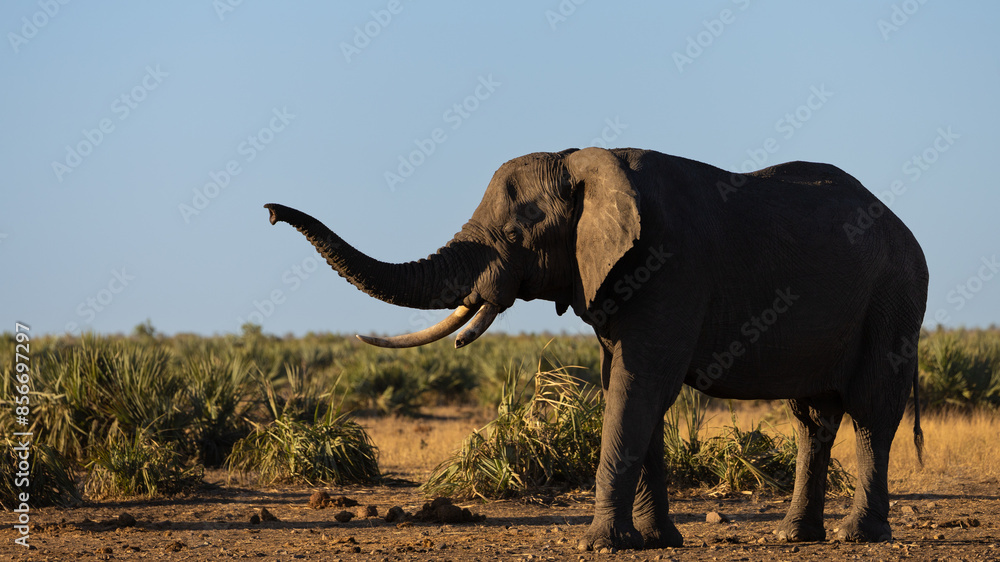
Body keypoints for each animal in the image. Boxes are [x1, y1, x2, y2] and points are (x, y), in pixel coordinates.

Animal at [264, 147, 927, 550]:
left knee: (871, 410)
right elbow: (631, 391)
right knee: (813, 416)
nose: (269, 211)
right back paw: (795, 538)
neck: (580, 156)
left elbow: (640, 388)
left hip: (895, 298)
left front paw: (598, 545)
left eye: (515, 234)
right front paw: (654, 543)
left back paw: (858, 537)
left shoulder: (670, 268)